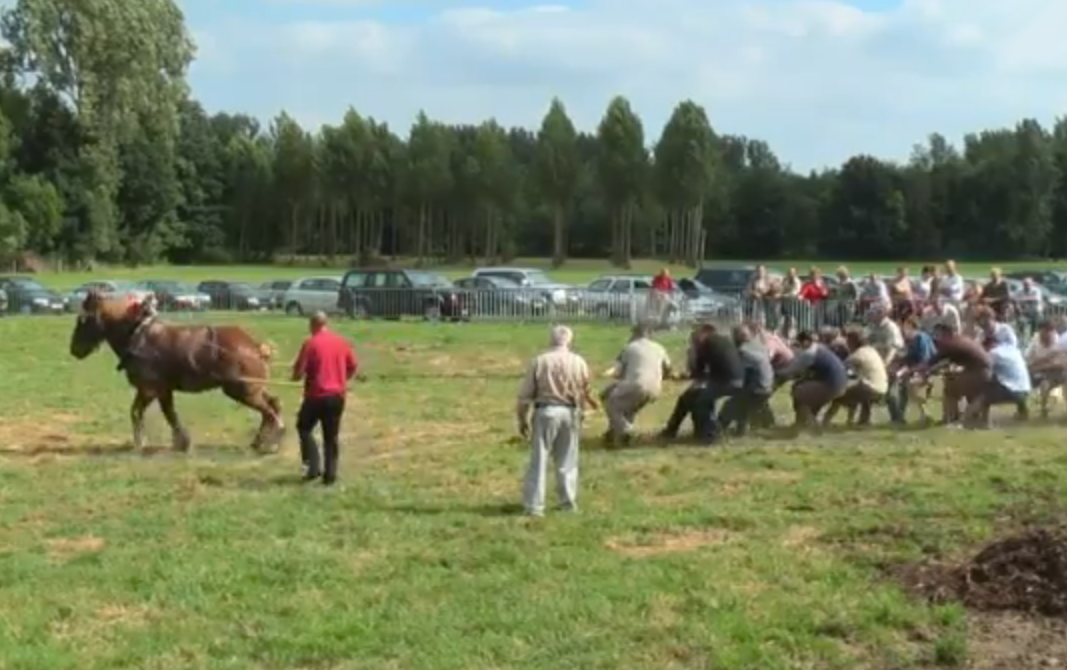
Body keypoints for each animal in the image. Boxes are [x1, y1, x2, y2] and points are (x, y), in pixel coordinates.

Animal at [68, 292, 285, 452]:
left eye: (83, 320)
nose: (74, 350)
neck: (137, 334)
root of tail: (256, 347)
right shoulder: (162, 390)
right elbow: (169, 413)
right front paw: (181, 442)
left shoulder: (149, 389)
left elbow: (139, 412)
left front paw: (141, 443)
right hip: (253, 388)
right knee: (273, 404)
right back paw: (260, 442)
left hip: (242, 390)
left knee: (268, 411)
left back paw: (271, 441)